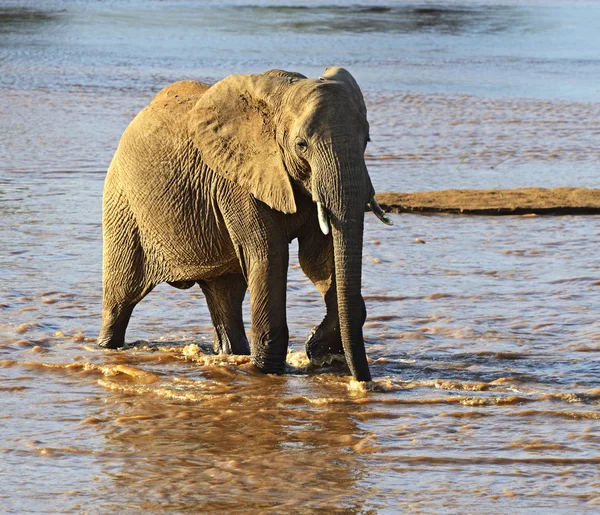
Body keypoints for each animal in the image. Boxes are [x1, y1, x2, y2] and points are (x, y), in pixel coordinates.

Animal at [96, 66, 392, 382]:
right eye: (301, 145)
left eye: (367, 141)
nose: (363, 381)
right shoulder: (238, 181)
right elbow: (269, 255)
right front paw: (269, 370)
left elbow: (321, 258)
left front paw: (319, 349)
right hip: (123, 206)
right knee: (121, 297)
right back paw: (107, 346)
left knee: (225, 296)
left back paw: (231, 354)